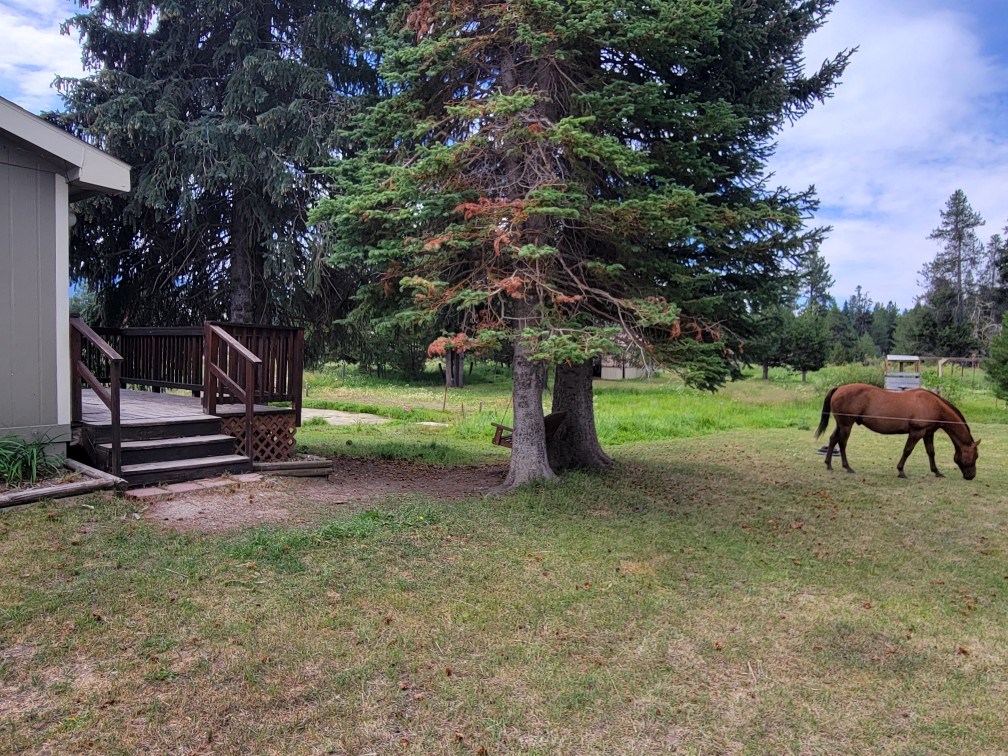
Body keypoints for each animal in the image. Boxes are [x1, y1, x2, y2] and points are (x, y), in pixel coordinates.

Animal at [814, 383, 980, 479]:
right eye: (976, 456)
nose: (971, 476)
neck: (933, 405)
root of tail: (839, 388)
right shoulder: (916, 432)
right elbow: (907, 451)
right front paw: (901, 471)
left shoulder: (928, 433)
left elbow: (931, 452)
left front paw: (937, 471)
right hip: (846, 424)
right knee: (842, 443)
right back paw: (847, 467)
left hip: (841, 424)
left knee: (833, 439)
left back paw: (829, 464)